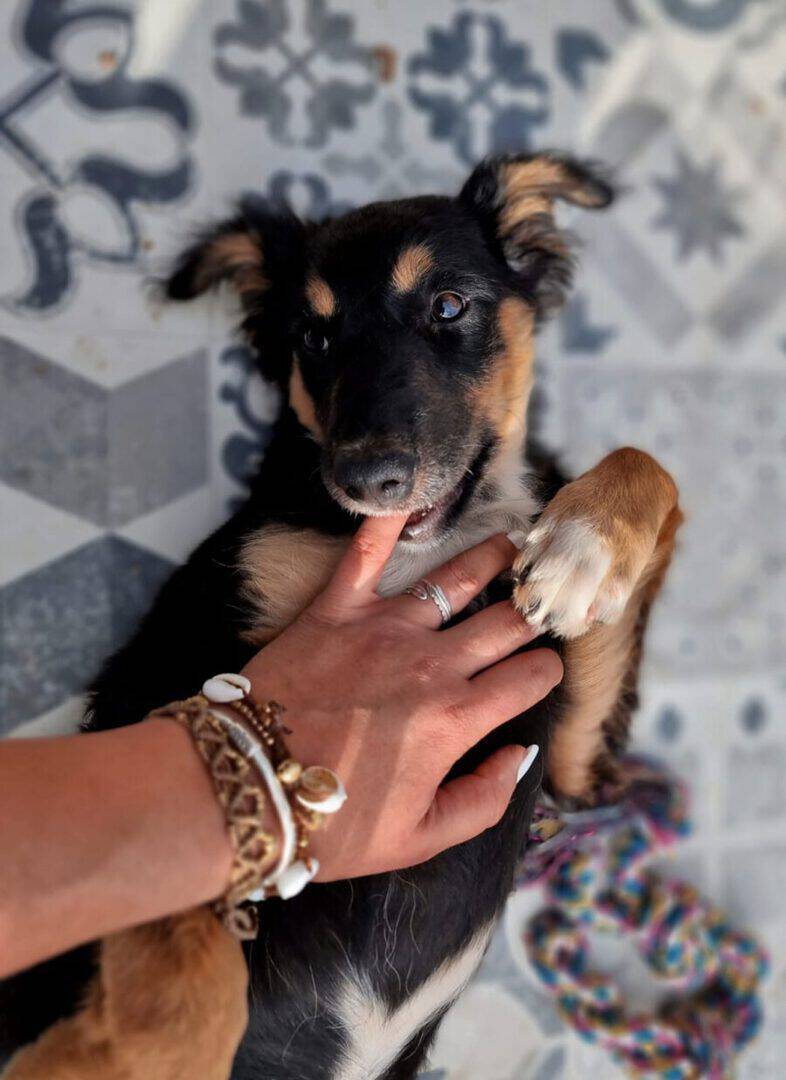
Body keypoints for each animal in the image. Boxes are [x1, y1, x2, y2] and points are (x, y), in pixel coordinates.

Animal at [0, 151, 681, 1079]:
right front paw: (142, 1043)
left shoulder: (574, 766)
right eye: (314, 338)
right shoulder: (169, 664)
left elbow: (650, 469)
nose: (366, 481)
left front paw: (584, 548)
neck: (433, 540)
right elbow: (190, 885)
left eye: (448, 305)